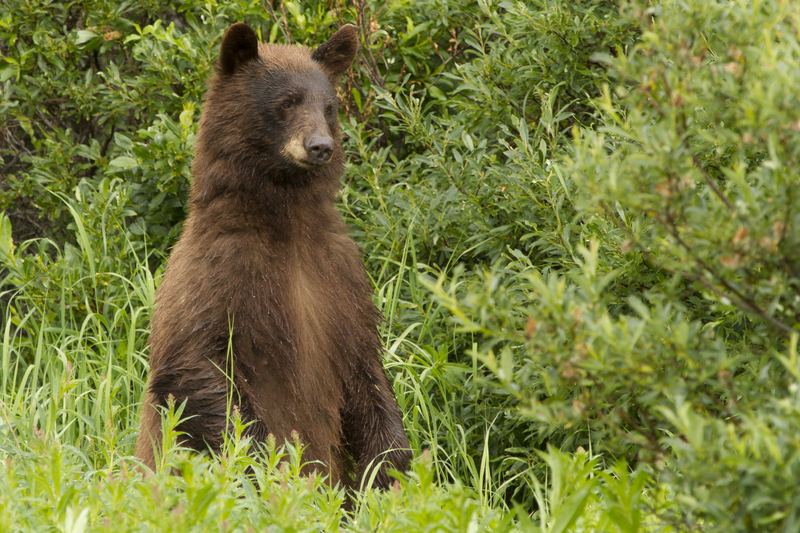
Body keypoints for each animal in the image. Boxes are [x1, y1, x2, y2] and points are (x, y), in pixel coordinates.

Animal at [134, 23, 410, 490]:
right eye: (285, 102)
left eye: (329, 107)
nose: (320, 146)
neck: (288, 224)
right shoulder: (219, 268)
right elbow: (193, 363)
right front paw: (272, 467)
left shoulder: (341, 275)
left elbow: (365, 368)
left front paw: (387, 470)